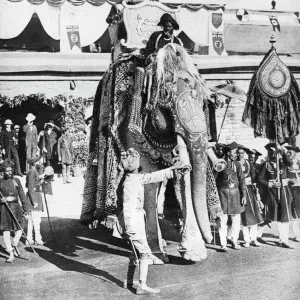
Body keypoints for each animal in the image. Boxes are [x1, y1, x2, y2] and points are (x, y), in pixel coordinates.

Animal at [81, 41, 226, 262]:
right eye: (165, 95)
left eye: (205, 102)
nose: (212, 241)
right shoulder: (130, 128)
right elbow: (149, 180)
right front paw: (156, 254)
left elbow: (177, 176)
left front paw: (193, 253)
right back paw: (127, 236)